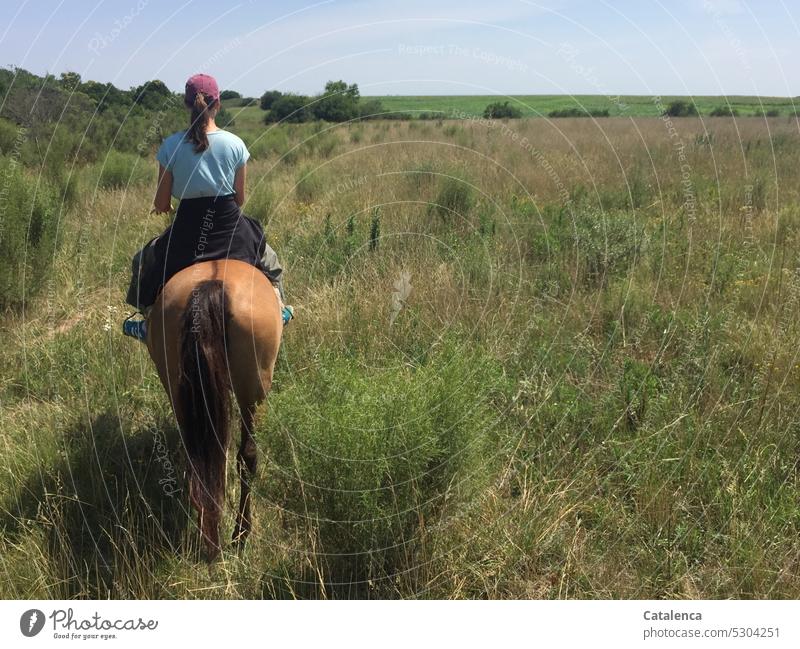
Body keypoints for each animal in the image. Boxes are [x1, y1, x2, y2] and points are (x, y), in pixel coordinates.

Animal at [145, 258, 282, 556]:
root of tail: (212, 284)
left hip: (177, 384)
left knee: (200, 454)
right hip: (252, 389)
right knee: (247, 456)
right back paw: (240, 533)